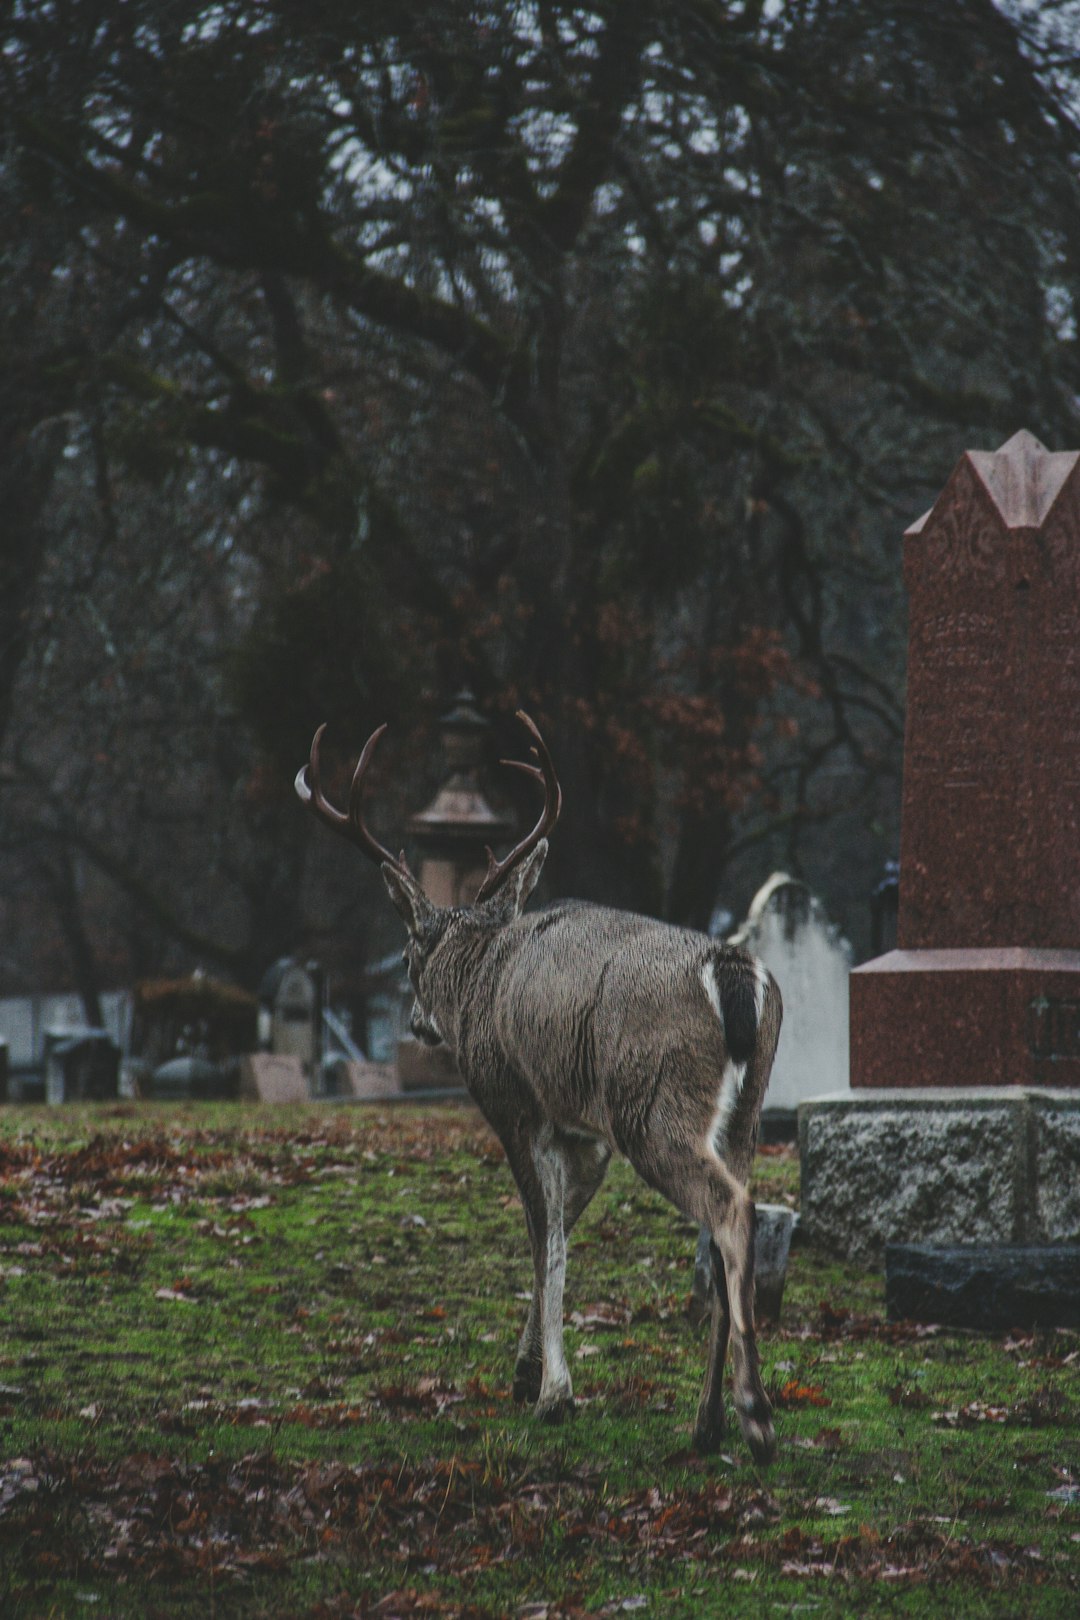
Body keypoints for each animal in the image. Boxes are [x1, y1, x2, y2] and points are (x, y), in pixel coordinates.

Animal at [296, 709, 786, 1470]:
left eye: (406, 953)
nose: (417, 1024)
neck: (477, 977)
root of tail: (735, 973)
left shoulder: (515, 1103)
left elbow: (542, 1233)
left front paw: (552, 1390)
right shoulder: (581, 1128)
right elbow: (565, 1223)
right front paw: (528, 1372)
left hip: (652, 1105)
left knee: (731, 1210)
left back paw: (755, 1418)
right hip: (745, 1111)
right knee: (724, 1220)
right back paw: (705, 1424)